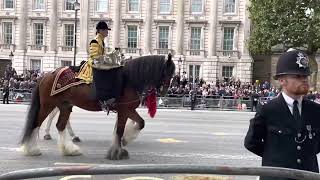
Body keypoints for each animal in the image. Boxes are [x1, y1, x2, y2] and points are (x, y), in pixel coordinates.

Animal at [20, 53, 175, 160]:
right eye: (167, 72)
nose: (164, 91)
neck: (127, 79)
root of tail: (46, 75)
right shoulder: (124, 110)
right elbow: (121, 130)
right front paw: (117, 151)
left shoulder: (127, 109)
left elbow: (139, 123)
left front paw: (125, 140)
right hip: (48, 105)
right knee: (36, 123)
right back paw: (32, 149)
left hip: (65, 105)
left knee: (60, 125)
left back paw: (69, 149)